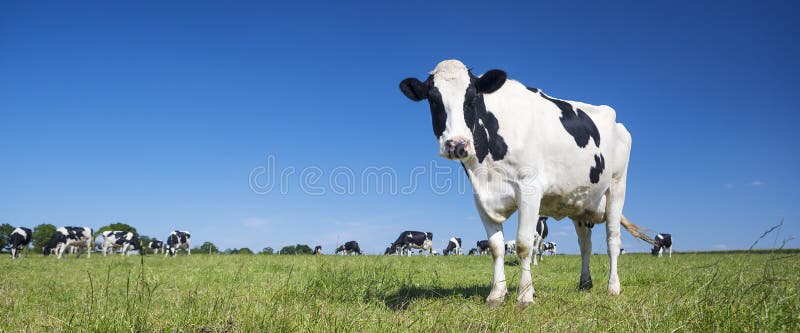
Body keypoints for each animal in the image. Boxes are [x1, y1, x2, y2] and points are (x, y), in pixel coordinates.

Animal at [396, 59, 648, 306]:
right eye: (433, 100)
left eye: (472, 98)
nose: (457, 144)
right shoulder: (481, 197)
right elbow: (496, 247)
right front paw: (497, 294)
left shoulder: (530, 189)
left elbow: (524, 244)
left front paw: (525, 295)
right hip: (580, 203)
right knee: (585, 245)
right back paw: (585, 283)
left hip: (616, 186)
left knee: (613, 240)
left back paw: (613, 287)